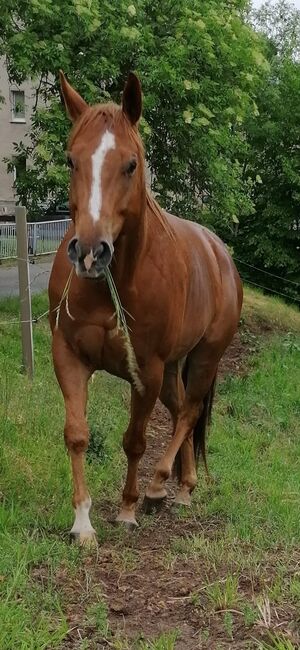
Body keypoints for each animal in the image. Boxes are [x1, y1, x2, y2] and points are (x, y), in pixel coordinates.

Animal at [48, 71, 241, 540]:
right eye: (71, 160)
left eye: (130, 165)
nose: (90, 252)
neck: (111, 286)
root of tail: (221, 254)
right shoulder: (68, 355)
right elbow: (77, 434)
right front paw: (82, 522)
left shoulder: (146, 372)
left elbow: (134, 440)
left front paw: (128, 507)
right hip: (174, 366)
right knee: (178, 411)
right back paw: (183, 485)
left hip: (206, 356)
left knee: (188, 412)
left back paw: (160, 486)